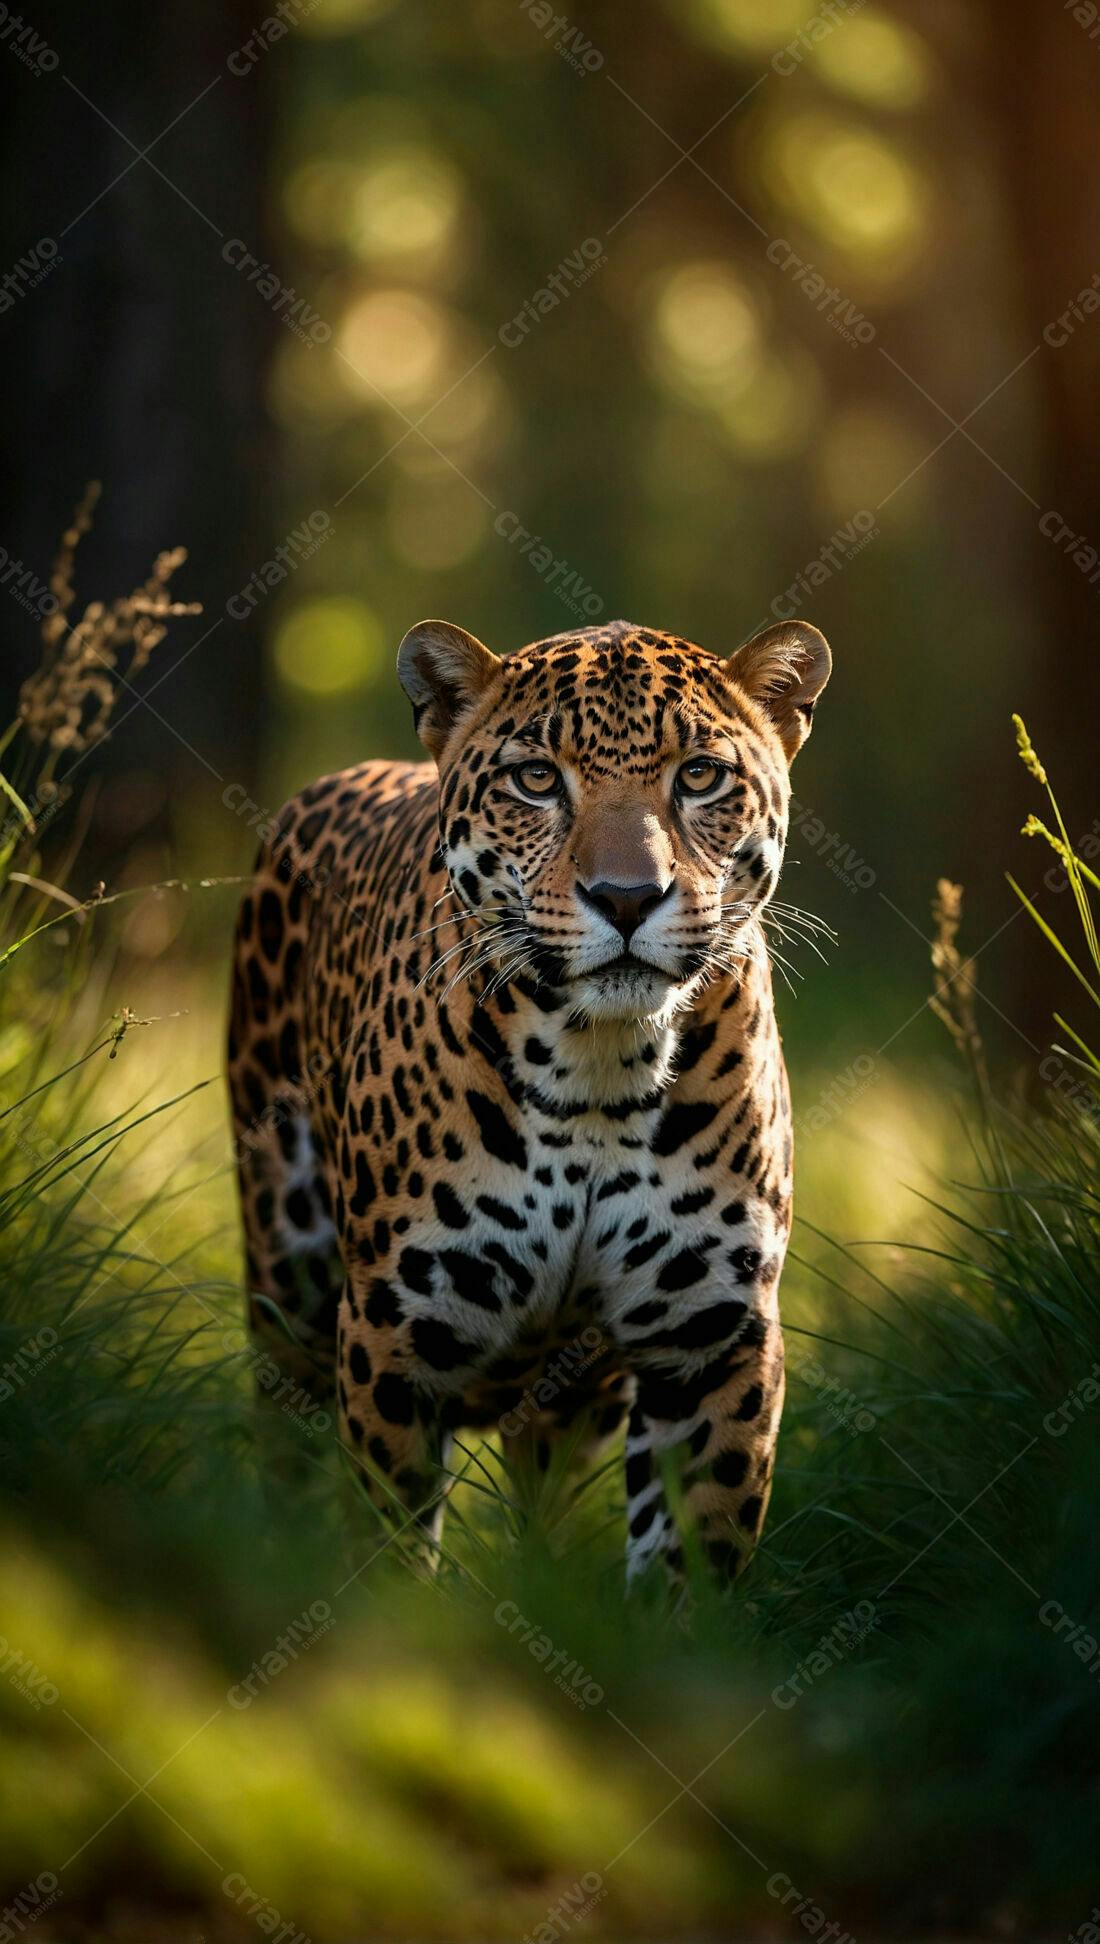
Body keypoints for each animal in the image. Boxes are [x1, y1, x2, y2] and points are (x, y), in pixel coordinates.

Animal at [227, 614, 832, 1585]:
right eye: (537, 779)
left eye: (700, 776)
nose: (626, 897)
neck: (600, 1073)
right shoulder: (398, 1326)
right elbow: (391, 1539)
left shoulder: (712, 1339)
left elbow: (687, 1562)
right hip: (288, 1267)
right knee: (283, 1440)